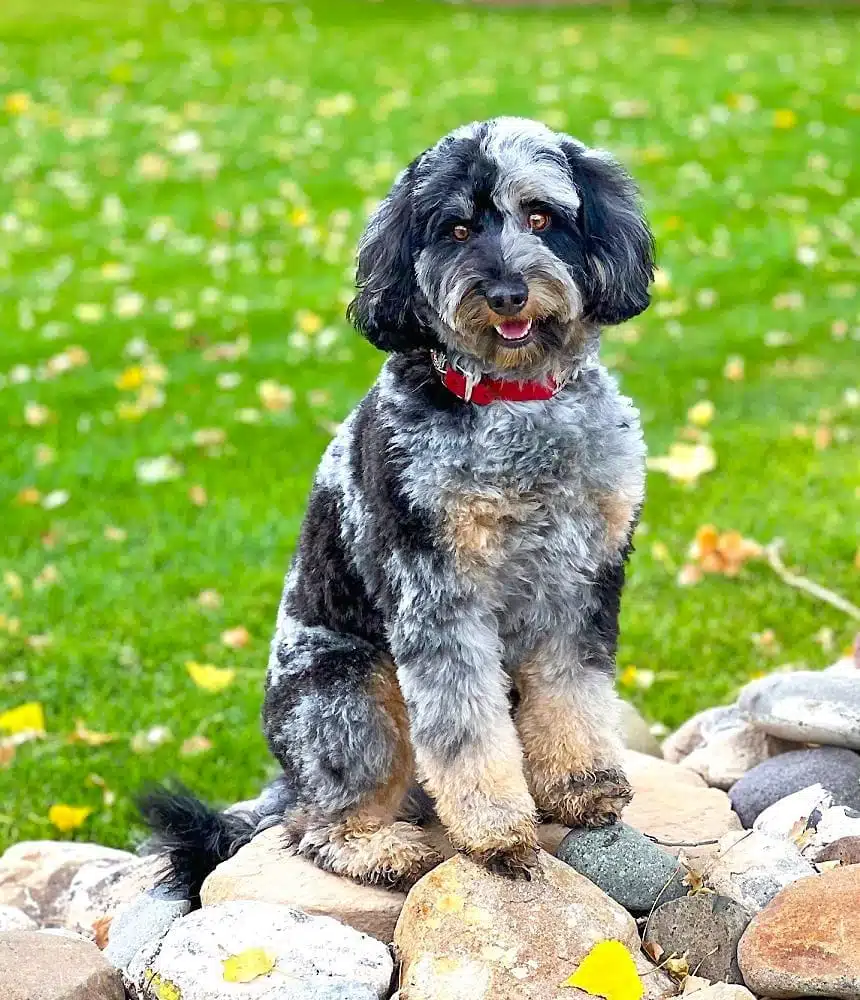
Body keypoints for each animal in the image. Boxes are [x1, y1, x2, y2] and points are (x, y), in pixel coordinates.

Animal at [143, 117, 652, 900]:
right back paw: (380, 850)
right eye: (457, 229)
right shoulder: (435, 594)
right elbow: (465, 730)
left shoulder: (582, 583)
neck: (514, 404)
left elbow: (573, 693)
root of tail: (285, 782)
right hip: (351, 695)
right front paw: (498, 833)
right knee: (315, 826)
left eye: (541, 216)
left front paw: (583, 786)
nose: (506, 292)